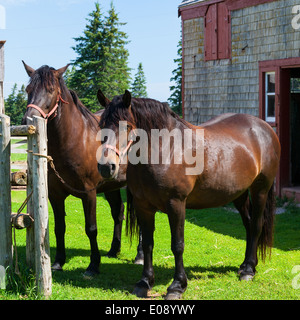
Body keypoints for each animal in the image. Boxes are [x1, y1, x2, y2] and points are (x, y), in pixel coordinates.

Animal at [21, 63, 137, 278]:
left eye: (51, 90)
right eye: (28, 89)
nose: (27, 121)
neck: (74, 140)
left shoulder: (89, 193)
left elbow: (91, 228)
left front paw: (93, 266)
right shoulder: (55, 194)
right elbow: (59, 227)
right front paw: (58, 262)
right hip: (111, 186)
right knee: (118, 212)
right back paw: (113, 250)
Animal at [97, 89, 280, 300]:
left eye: (127, 126)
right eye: (101, 125)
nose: (106, 167)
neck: (165, 149)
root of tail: (264, 128)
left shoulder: (176, 204)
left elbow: (177, 245)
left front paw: (177, 286)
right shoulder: (144, 206)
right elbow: (148, 244)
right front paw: (144, 282)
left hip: (260, 190)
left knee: (257, 226)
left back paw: (249, 270)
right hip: (238, 194)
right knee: (249, 226)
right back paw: (246, 265)